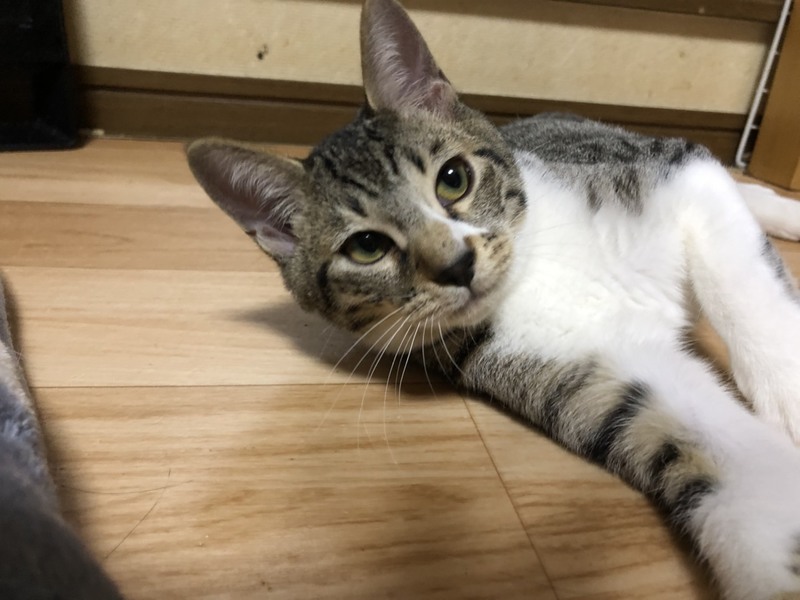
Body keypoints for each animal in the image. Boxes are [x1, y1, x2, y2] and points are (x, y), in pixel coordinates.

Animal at [186, 0, 800, 598]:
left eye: (453, 178)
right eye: (365, 247)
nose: (457, 265)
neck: (535, 265)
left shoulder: (674, 175)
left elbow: (743, 287)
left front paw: (789, 394)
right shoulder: (581, 362)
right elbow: (698, 445)